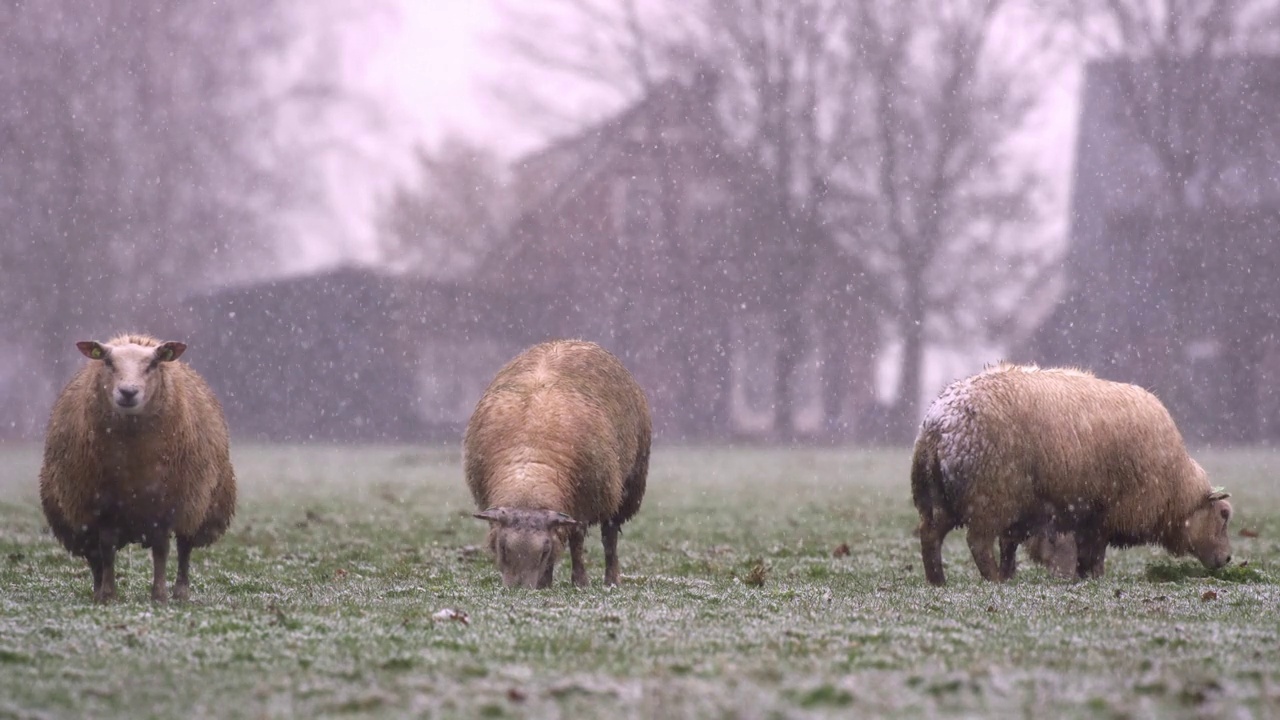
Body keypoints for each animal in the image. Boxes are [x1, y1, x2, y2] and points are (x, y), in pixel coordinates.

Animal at [37, 333, 236, 602]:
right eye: (108, 362)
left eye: (153, 364)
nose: (128, 392)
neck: (132, 465)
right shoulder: (102, 505)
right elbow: (107, 549)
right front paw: (108, 594)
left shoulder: (165, 504)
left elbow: (161, 550)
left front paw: (159, 595)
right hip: (76, 516)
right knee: (94, 554)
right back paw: (98, 590)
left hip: (197, 503)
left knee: (185, 547)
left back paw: (181, 592)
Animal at [463, 338, 650, 586]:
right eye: (502, 548)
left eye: (543, 551)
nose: (518, 589)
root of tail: (574, 340)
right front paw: (545, 583)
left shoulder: (583, 502)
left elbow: (577, 543)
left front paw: (580, 582)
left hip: (627, 487)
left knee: (610, 536)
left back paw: (611, 580)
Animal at [911, 361, 1228, 586]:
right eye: (1224, 515)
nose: (1227, 559)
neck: (1176, 483)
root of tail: (937, 424)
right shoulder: (1106, 512)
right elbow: (1094, 553)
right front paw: (1094, 579)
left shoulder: (1043, 513)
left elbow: (1012, 545)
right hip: (989, 495)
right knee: (977, 542)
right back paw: (993, 581)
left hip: (941, 497)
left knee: (930, 534)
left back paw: (938, 581)